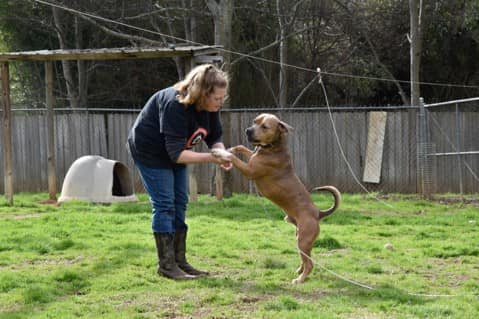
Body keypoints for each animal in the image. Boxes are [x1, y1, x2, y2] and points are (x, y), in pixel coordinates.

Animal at [214, 113, 342, 284]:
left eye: (265, 127)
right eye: (255, 121)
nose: (248, 130)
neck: (273, 148)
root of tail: (318, 213)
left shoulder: (249, 170)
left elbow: (235, 159)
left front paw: (223, 154)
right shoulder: (252, 156)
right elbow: (242, 148)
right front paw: (231, 148)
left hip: (303, 240)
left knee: (310, 264)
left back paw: (300, 280)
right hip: (300, 239)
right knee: (306, 259)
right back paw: (299, 270)